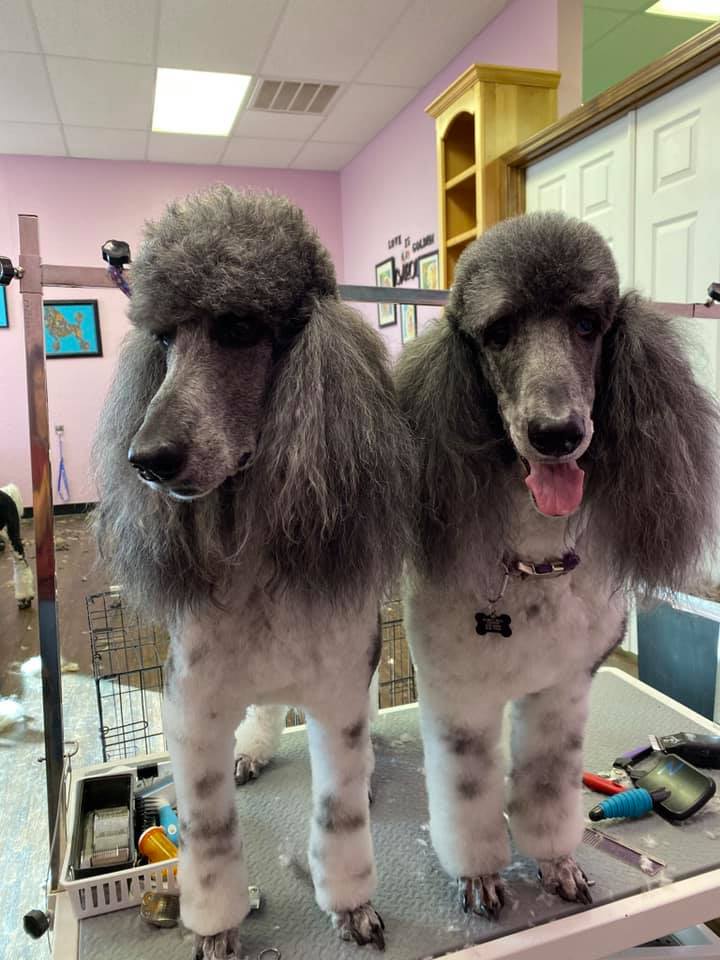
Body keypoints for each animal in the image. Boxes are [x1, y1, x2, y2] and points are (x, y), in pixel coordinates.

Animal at [93, 187, 415, 958]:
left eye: (238, 326)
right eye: (164, 340)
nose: (147, 459)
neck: (256, 552)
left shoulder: (337, 695)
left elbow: (339, 818)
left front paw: (351, 907)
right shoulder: (194, 707)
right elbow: (208, 840)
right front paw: (216, 928)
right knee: (267, 707)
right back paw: (255, 750)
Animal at [395, 211, 718, 917]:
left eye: (587, 324)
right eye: (497, 331)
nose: (557, 434)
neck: (533, 566)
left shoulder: (562, 694)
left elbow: (546, 790)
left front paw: (557, 864)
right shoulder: (460, 699)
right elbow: (468, 804)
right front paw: (480, 876)